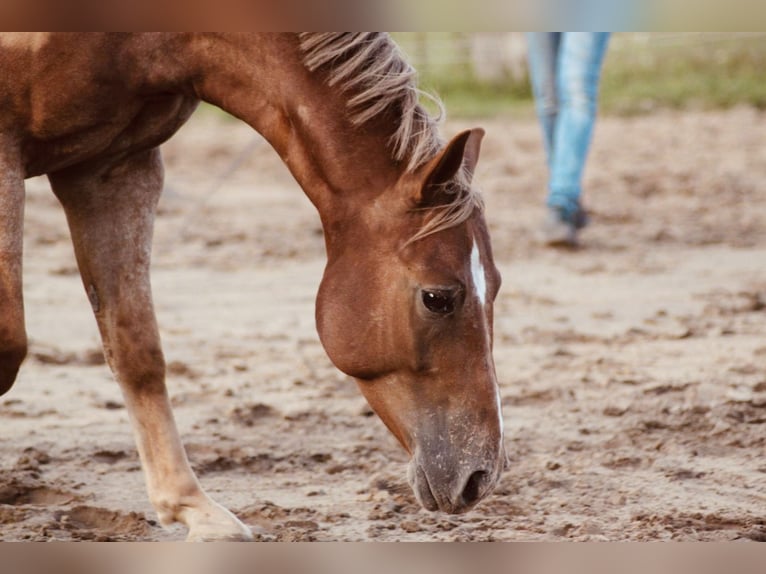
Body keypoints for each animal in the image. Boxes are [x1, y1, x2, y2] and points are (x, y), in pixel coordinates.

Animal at [1, 33, 510, 544]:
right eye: (438, 298)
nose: (481, 475)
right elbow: (10, 345)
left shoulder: (113, 166)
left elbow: (137, 349)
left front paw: (195, 511)